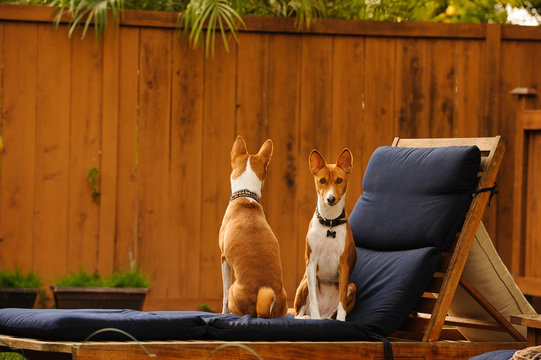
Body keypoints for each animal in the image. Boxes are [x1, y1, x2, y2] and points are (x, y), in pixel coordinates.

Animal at [294, 148, 356, 320]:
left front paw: (341, 321)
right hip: (305, 282)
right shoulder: (311, 263)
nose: (331, 198)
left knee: (330, 315)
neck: (330, 223)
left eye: (339, 180)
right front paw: (314, 319)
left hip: (352, 286)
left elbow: (341, 302)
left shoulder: (344, 265)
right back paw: (309, 317)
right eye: (322, 181)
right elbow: (314, 300)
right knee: (298, 313)